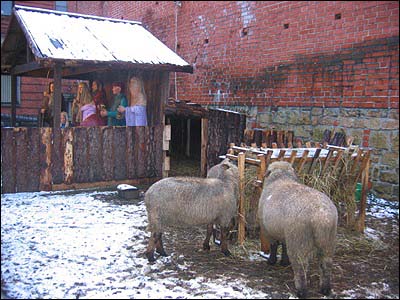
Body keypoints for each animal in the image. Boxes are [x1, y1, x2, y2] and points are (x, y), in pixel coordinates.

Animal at [260, 162, 338, 298]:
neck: (281, 179)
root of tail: (322, 217)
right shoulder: (285, 233)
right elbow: (284, 246)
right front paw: (284, 262)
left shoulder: (267, 230)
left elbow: (274, 246)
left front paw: (271, 261)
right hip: (328, 241)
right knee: (326, 264)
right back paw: (325, 289)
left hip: (299, 239)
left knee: (301, 267)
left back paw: (301, 291)